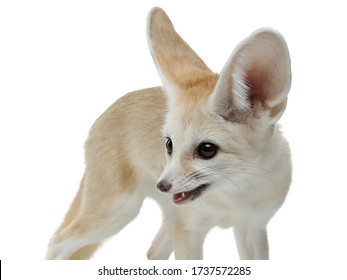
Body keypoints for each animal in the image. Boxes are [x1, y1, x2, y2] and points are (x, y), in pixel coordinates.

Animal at [45, 6, 290, 260]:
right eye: (169, 144)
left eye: (207, 149)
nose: (161, 186)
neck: (237, 196)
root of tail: (102, 116)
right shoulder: (188, 229)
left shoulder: (252, 227)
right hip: (117, 212)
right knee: (56, 243)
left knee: (152, 251)